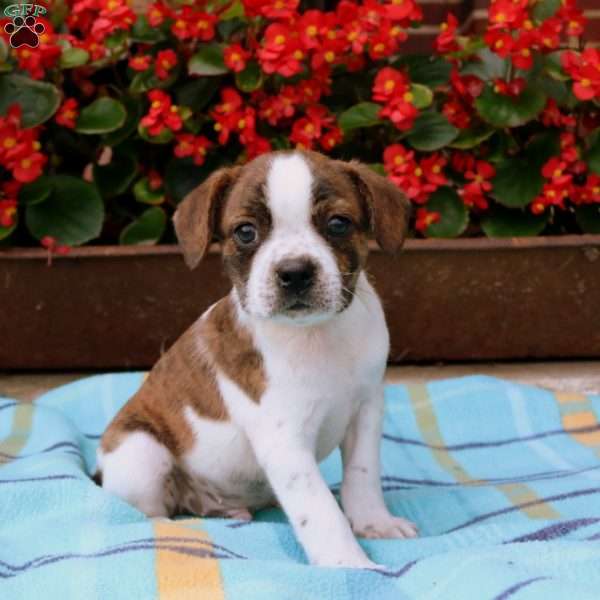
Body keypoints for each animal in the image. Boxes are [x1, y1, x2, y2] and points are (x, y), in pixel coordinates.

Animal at [98, 149, 418, 568]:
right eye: (246, 232)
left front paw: (374, 522)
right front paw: (350, 564)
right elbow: (320, 510)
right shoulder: (285, 442)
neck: (317, 335)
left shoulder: (365, 412)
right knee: (151, 510)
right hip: (141, 454)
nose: (295, 272)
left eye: (338, 224)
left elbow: (362, 476)